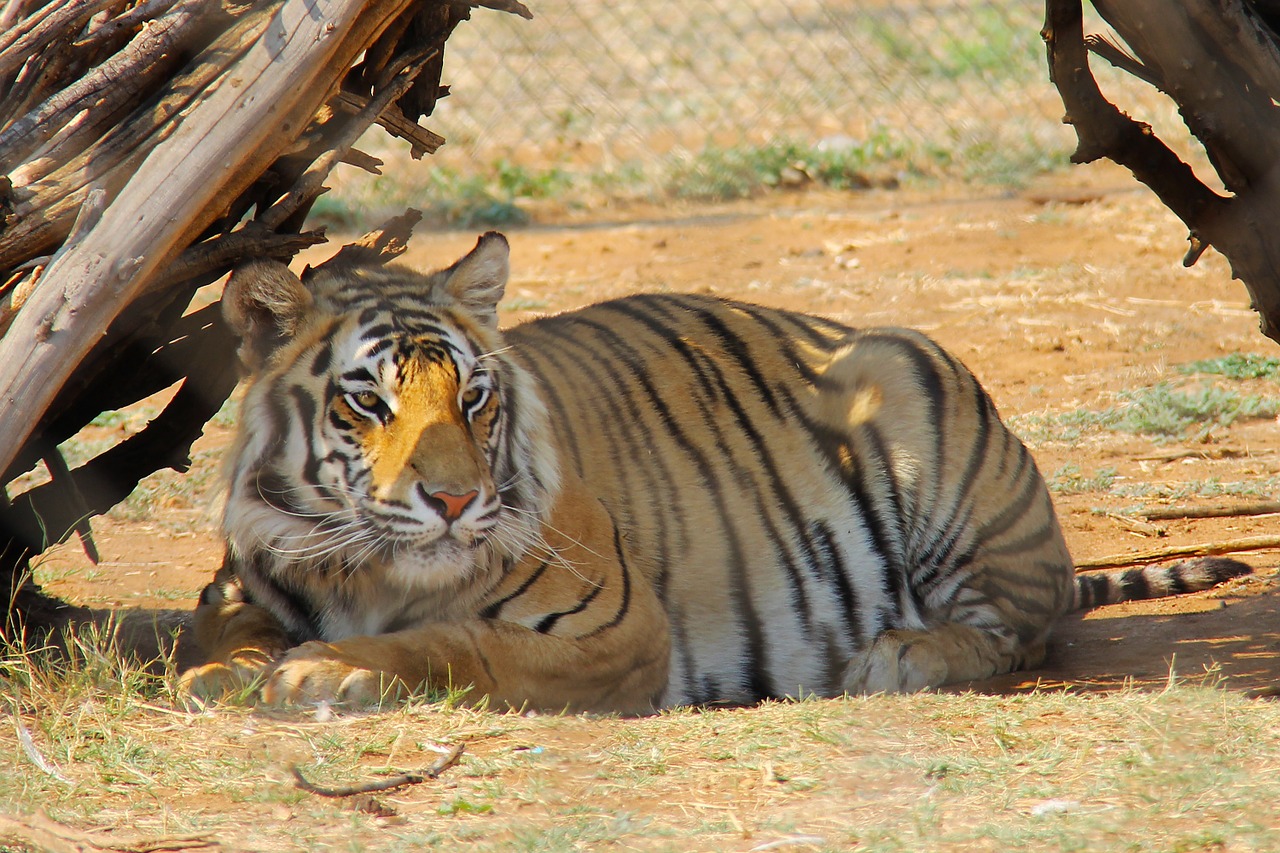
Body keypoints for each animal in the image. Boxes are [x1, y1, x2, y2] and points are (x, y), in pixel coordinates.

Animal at [180, 233, 1249, 712]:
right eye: (369, 401)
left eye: (474, 396)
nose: (454, 499)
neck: (371, 570)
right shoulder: (237, 586)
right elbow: (222, 637)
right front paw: (236, 671)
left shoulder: (615, 629)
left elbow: (451, 641)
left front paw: (321, 669)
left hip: (914, 402)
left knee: (1019, 632)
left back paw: (899, 654)